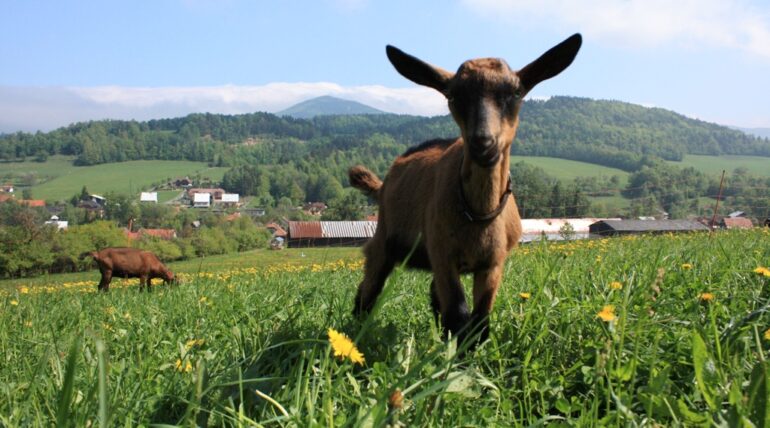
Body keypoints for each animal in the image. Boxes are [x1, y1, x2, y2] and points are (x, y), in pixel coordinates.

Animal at [350, 35, 584, 346]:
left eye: (516, 92)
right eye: (452, 95)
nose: (483, 142)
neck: (479, 215)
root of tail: (383, 183)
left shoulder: (493, 263)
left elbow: (480, 317)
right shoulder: (442, 254)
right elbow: (458, 314)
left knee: (432, 297)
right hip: (385, 240)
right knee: (369, 288)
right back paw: (356, 330)